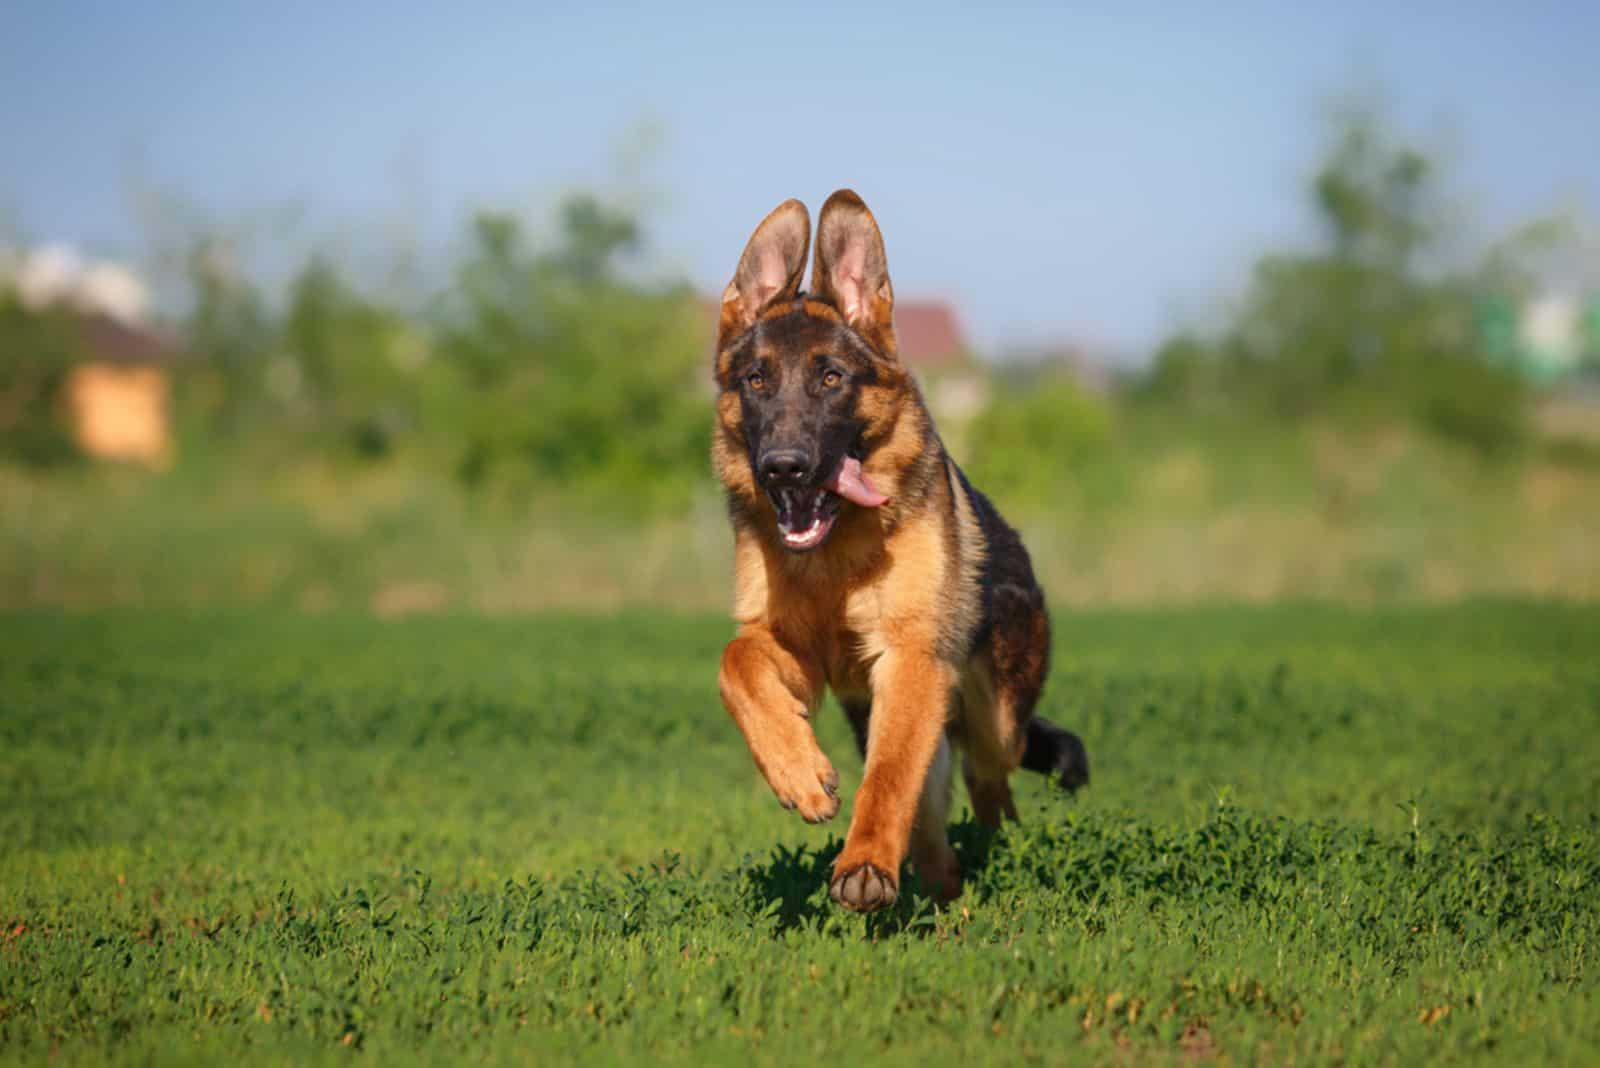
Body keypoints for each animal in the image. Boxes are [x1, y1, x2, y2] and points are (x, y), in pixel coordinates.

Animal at [713, 189, 1088, 908]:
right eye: (756, 380)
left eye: (832, 378)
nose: (783, 467)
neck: (835, 557)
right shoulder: (798, 651)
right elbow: (735, 662)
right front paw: (797, 772)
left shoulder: (910, 658)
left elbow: (888, 777)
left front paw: (864, 864)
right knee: (935, 808)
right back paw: (942, 885)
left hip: (992, 718)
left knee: (988, 778)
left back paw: (991, 855)